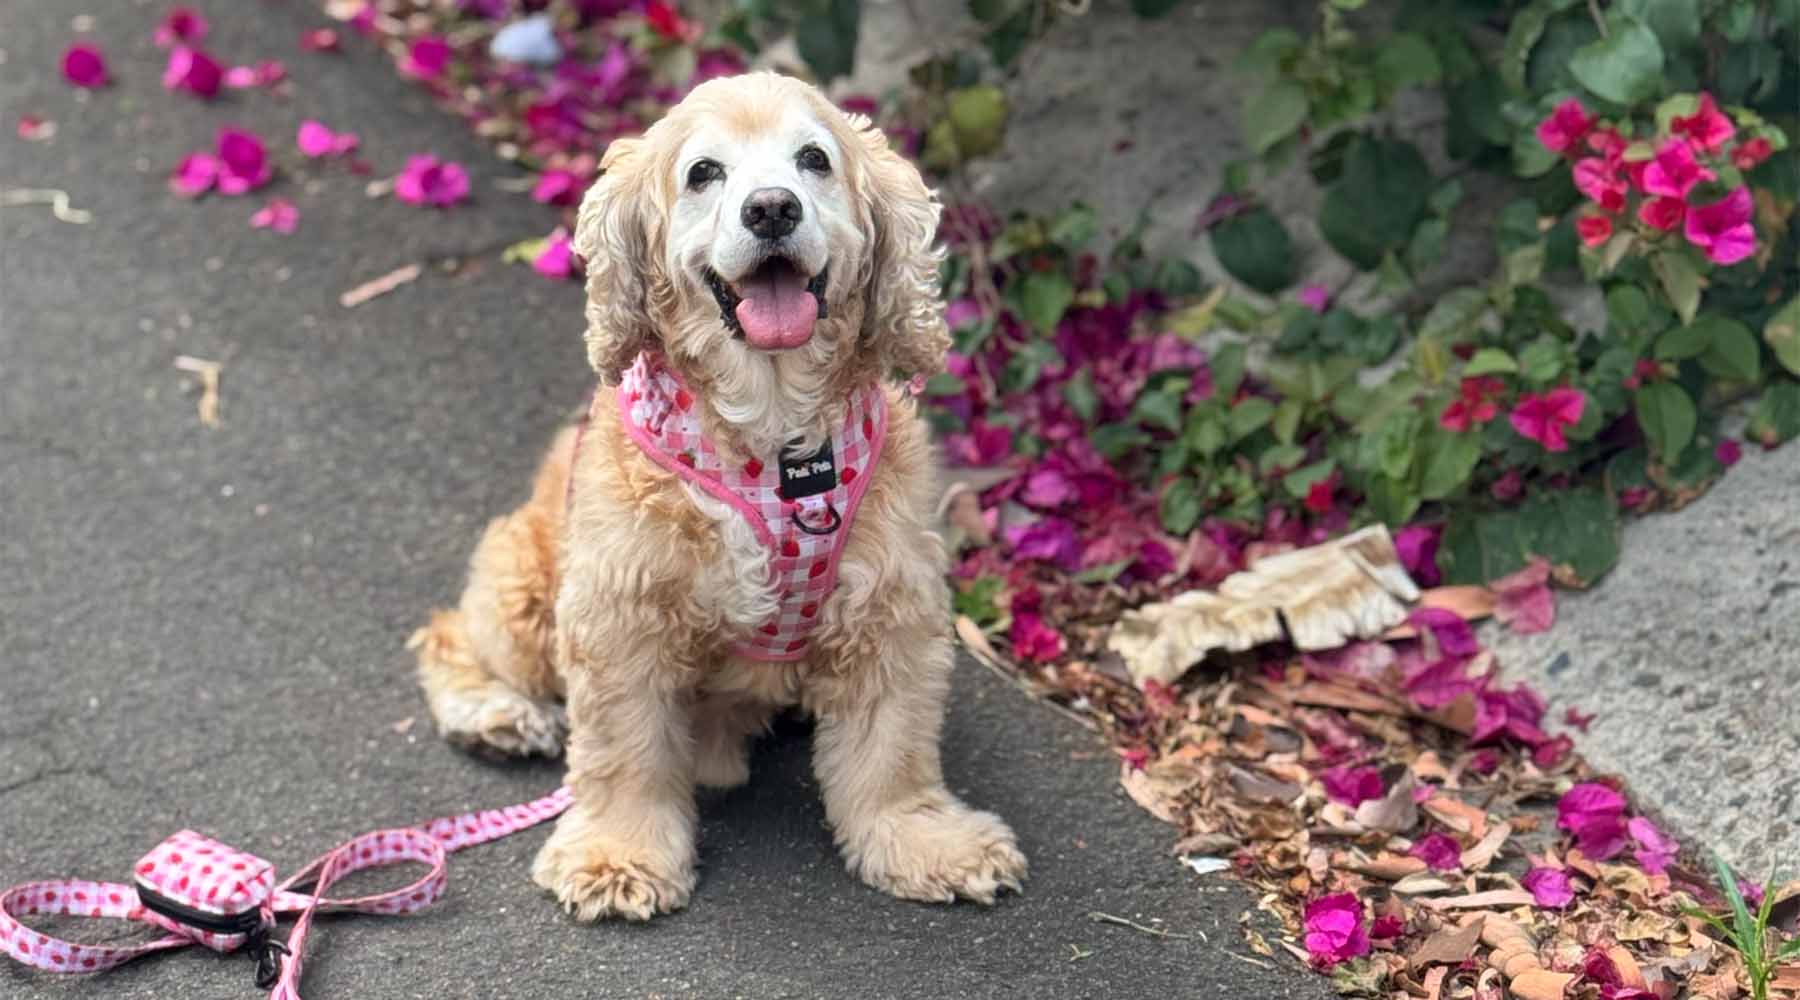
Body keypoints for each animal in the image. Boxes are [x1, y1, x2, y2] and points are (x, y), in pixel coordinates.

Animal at [412, 72, 1029, 920]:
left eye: (814, 160)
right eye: (704, 173)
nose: (771, 208)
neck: (772, 445)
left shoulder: (890, 607)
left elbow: (893, 750)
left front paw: (924, 841)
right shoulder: (618, 613)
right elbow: (624, 751)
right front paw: (619, 853)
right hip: (524, 582)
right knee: (448, 634)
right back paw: (496, 715)